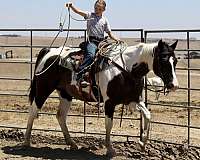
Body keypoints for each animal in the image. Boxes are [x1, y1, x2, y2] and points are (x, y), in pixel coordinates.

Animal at [23, 39, 178, 157]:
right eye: (163, 60)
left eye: (175, 61)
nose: (174, 85)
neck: (126, 69)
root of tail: (48, 51)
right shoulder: (109, 103)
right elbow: (109, 124)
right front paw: (110, 149)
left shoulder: (133, 100)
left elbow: (147, 115)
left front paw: (142, 143)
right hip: (43, 90)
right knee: (33, 111)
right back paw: (26, 141)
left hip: (66, 94)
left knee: (60, 116)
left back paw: (72, 143)